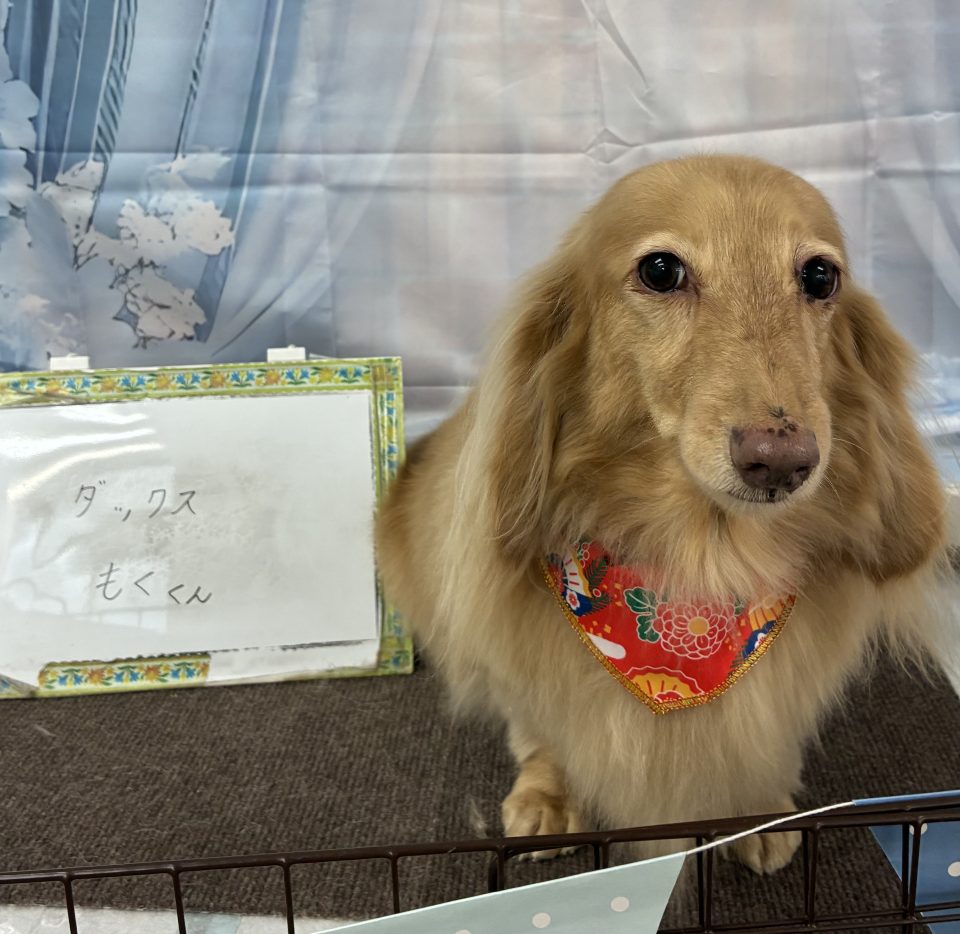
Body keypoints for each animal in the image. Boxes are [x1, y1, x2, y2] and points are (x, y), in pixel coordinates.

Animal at [374, 154, 947, 873]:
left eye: (821, 276)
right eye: (660, 270)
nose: (780, 460)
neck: (706, 564)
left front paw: (755, 808)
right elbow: (542, 726)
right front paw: (549, 794)